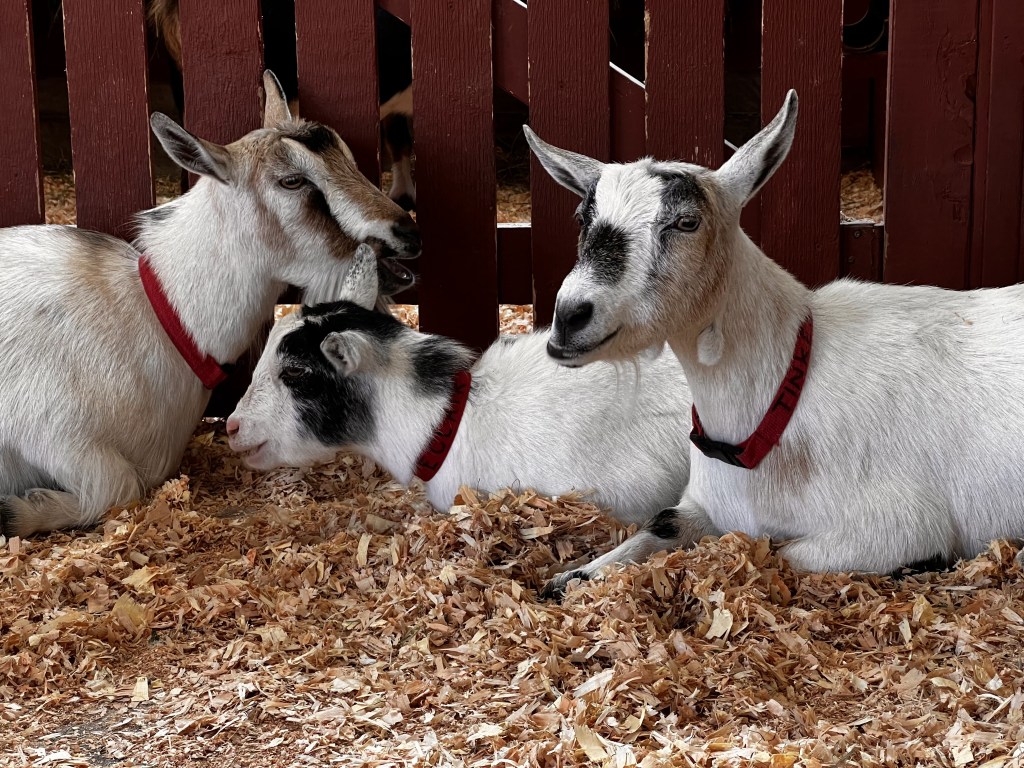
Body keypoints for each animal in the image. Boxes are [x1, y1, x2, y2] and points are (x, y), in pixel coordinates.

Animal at [0, 71, 419, 539]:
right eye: (292, 180)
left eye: (346, 158)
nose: (407, 233)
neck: (159, 314)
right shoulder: (45, 426)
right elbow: (118, 485)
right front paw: (12, 510)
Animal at [524, 91, 1024, 578]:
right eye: (581, 217)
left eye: (687, 222)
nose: (568, 316)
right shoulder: (701, 506)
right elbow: (655, 526)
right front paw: (569, 577)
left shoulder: (898, 526)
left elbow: (784, 555)